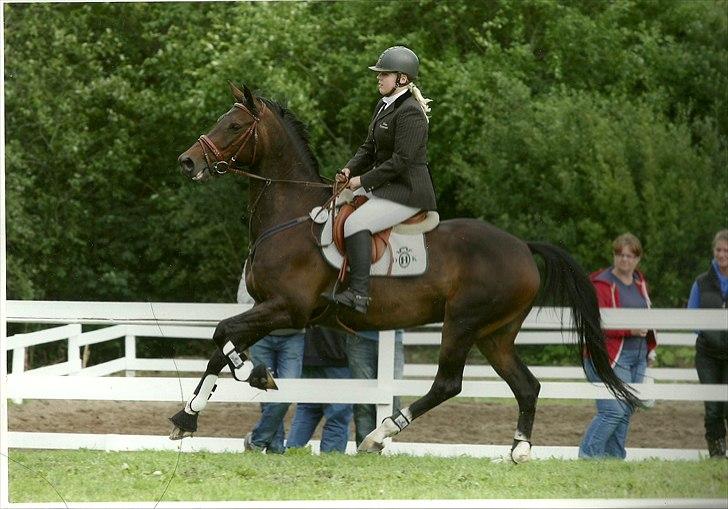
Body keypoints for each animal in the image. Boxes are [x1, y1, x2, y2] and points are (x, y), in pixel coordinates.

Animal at [173, 82, 640, 460]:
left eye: (234, 126)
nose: (187, 162)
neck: (290, 217)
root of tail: (523, 247)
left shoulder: (288, 309)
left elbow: (222, 335)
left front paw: (255, 375)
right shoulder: (269, 308)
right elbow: (222, 345)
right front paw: (187, 417)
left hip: (463, 323)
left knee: (448, 384)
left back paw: (378, 436)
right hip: (495, 333)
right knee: (526, 385)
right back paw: (519, 450)